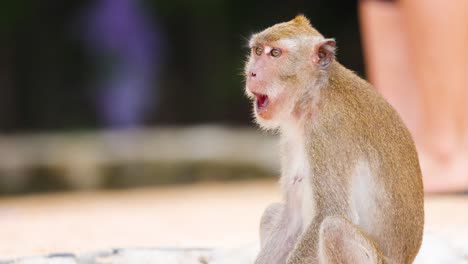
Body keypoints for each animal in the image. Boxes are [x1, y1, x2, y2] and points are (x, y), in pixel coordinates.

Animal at [245, 16, 424, 264]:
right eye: (258, 51)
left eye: (275, 53)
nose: (251, 73)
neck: (312, 96)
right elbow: (291, 218)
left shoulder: (329, 131)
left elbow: (329, 213)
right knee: (272, 212)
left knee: (334, 228)